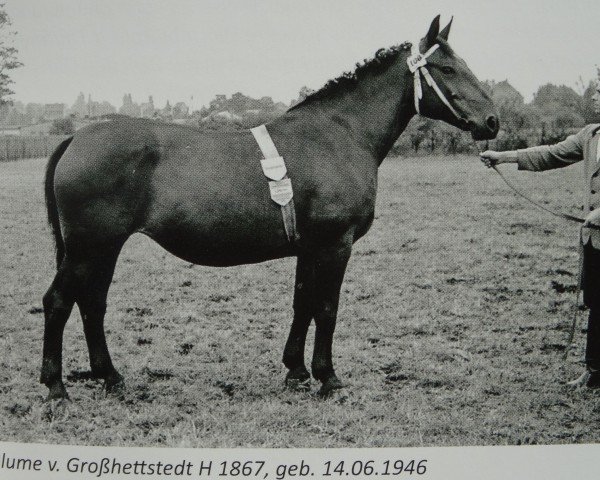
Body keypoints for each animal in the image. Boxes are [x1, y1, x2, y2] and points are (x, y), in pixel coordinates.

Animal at [43, 16, 496, 400]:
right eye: (448, 69)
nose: (492, 121)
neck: (339, 135)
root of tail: (76, 138)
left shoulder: (310, 248)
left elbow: (303, 303)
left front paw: (296, 371)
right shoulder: (336, 245)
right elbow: (327, 308)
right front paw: (328, 378)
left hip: (102, 249)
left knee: (92, 303)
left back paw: (110, 377)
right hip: (89, 248)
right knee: (59, 302)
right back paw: (56, 388)